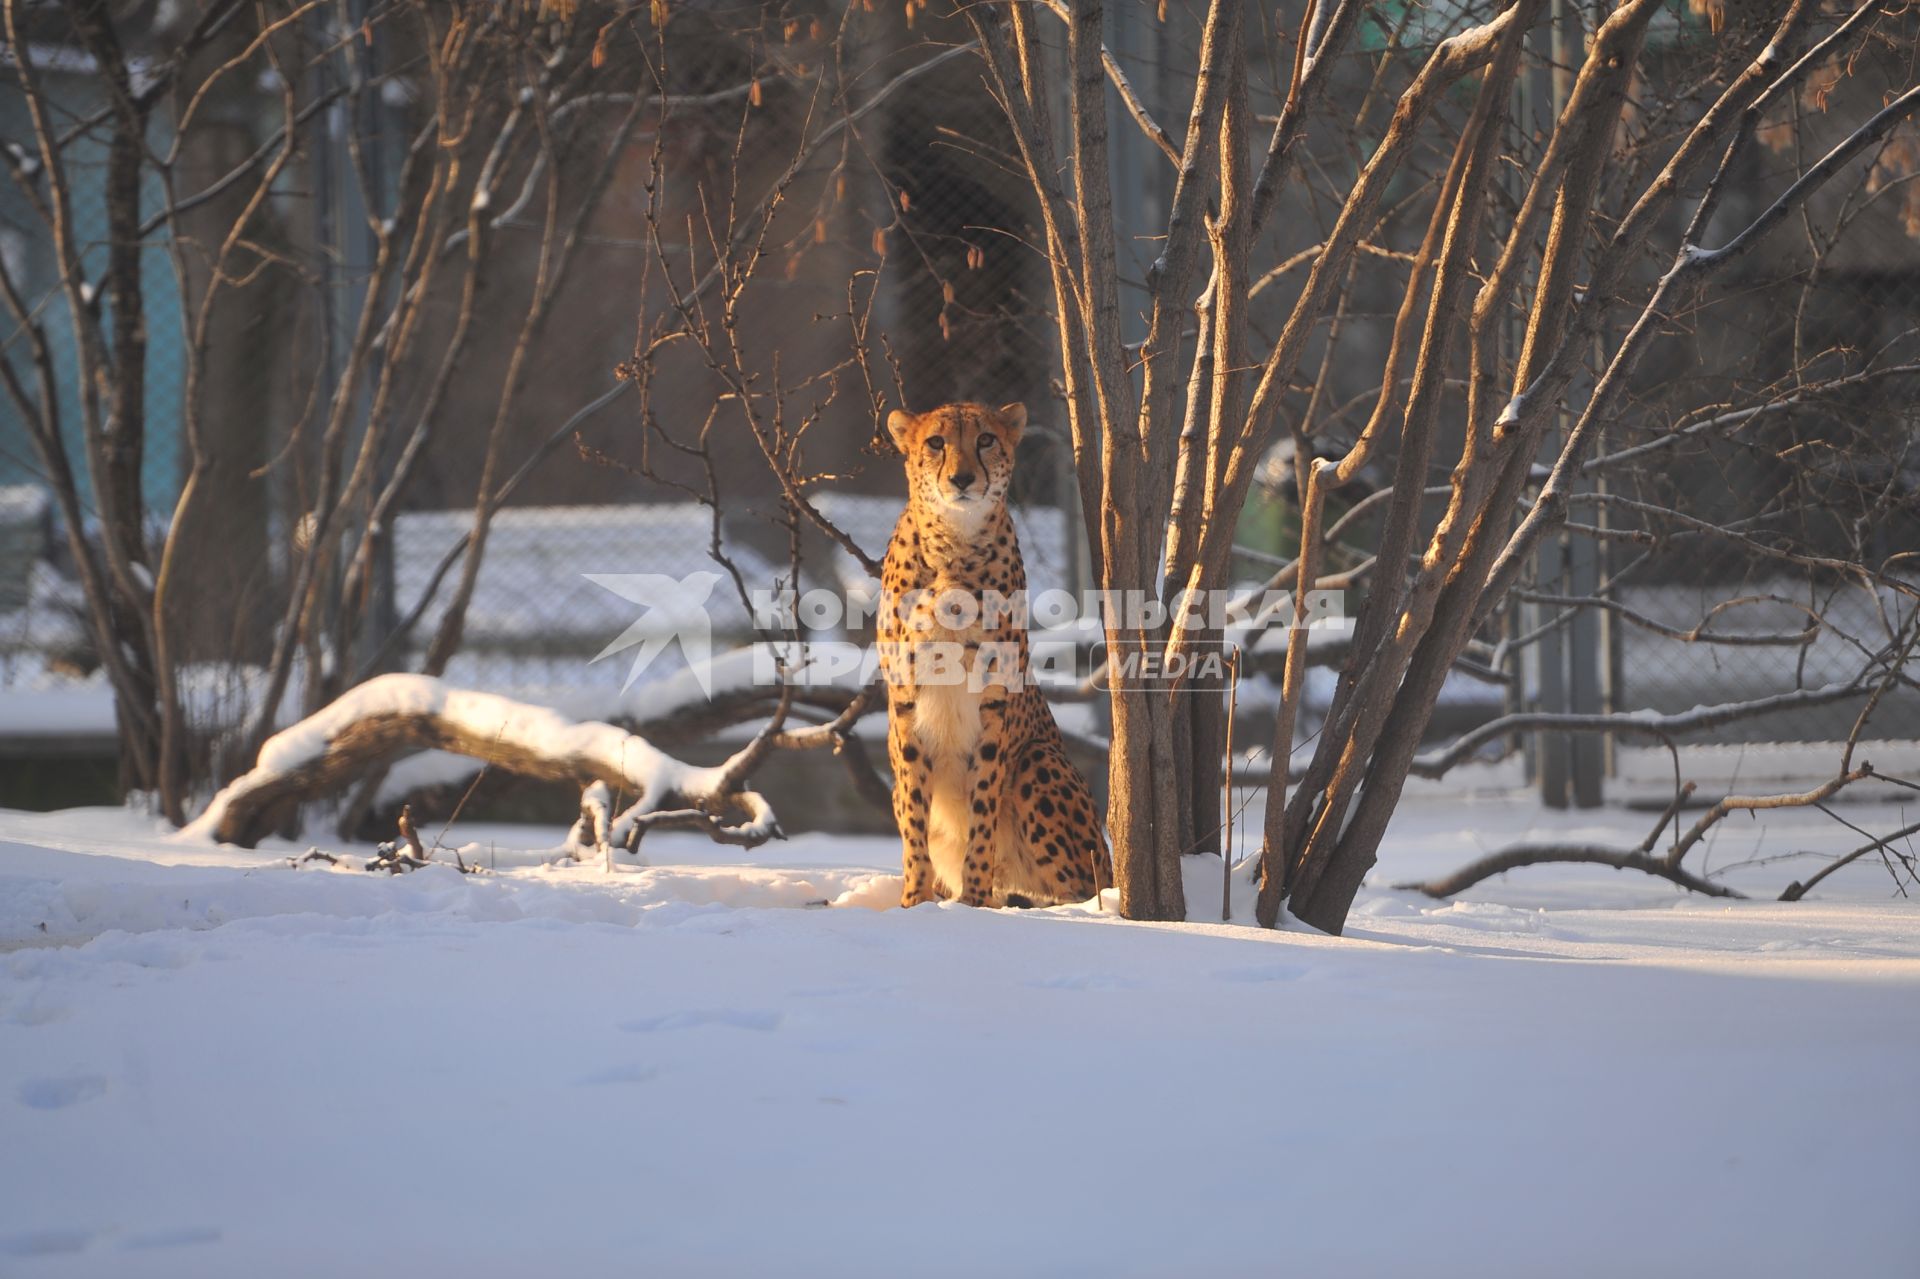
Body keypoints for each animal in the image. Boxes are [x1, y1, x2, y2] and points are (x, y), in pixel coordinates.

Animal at [875, 399, 1113, 906]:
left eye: (985, 439)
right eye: (936, 442)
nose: (963, 479)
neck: (953, 546)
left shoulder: (993, 702)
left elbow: (982, 804)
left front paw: (975, 900)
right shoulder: (905, 702)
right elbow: (915, 812)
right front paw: (915, 901)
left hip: (1039, 761)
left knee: (1085, 889)